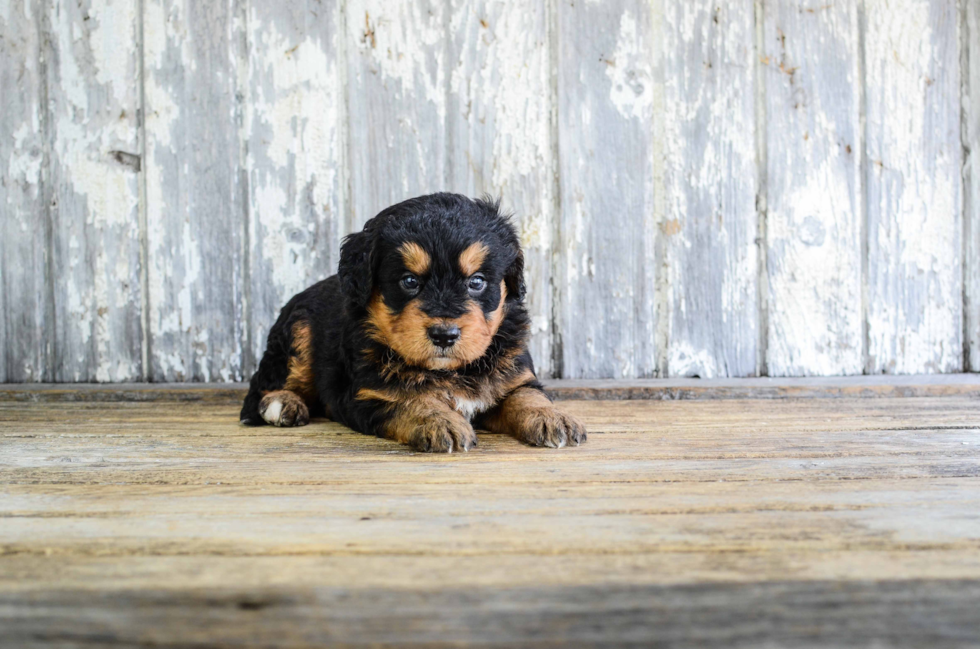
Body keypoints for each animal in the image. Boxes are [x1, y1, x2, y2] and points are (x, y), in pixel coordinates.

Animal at [240, 192, 584, 450]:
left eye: (476, 282)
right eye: (409, 281)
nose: (444, 335)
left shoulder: (515, 375)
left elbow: (527, 395)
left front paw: (553, 418)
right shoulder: (368, 394)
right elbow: (410, 400)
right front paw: (440, 420)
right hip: (298, 332)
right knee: (270, 382)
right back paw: (283, 403)